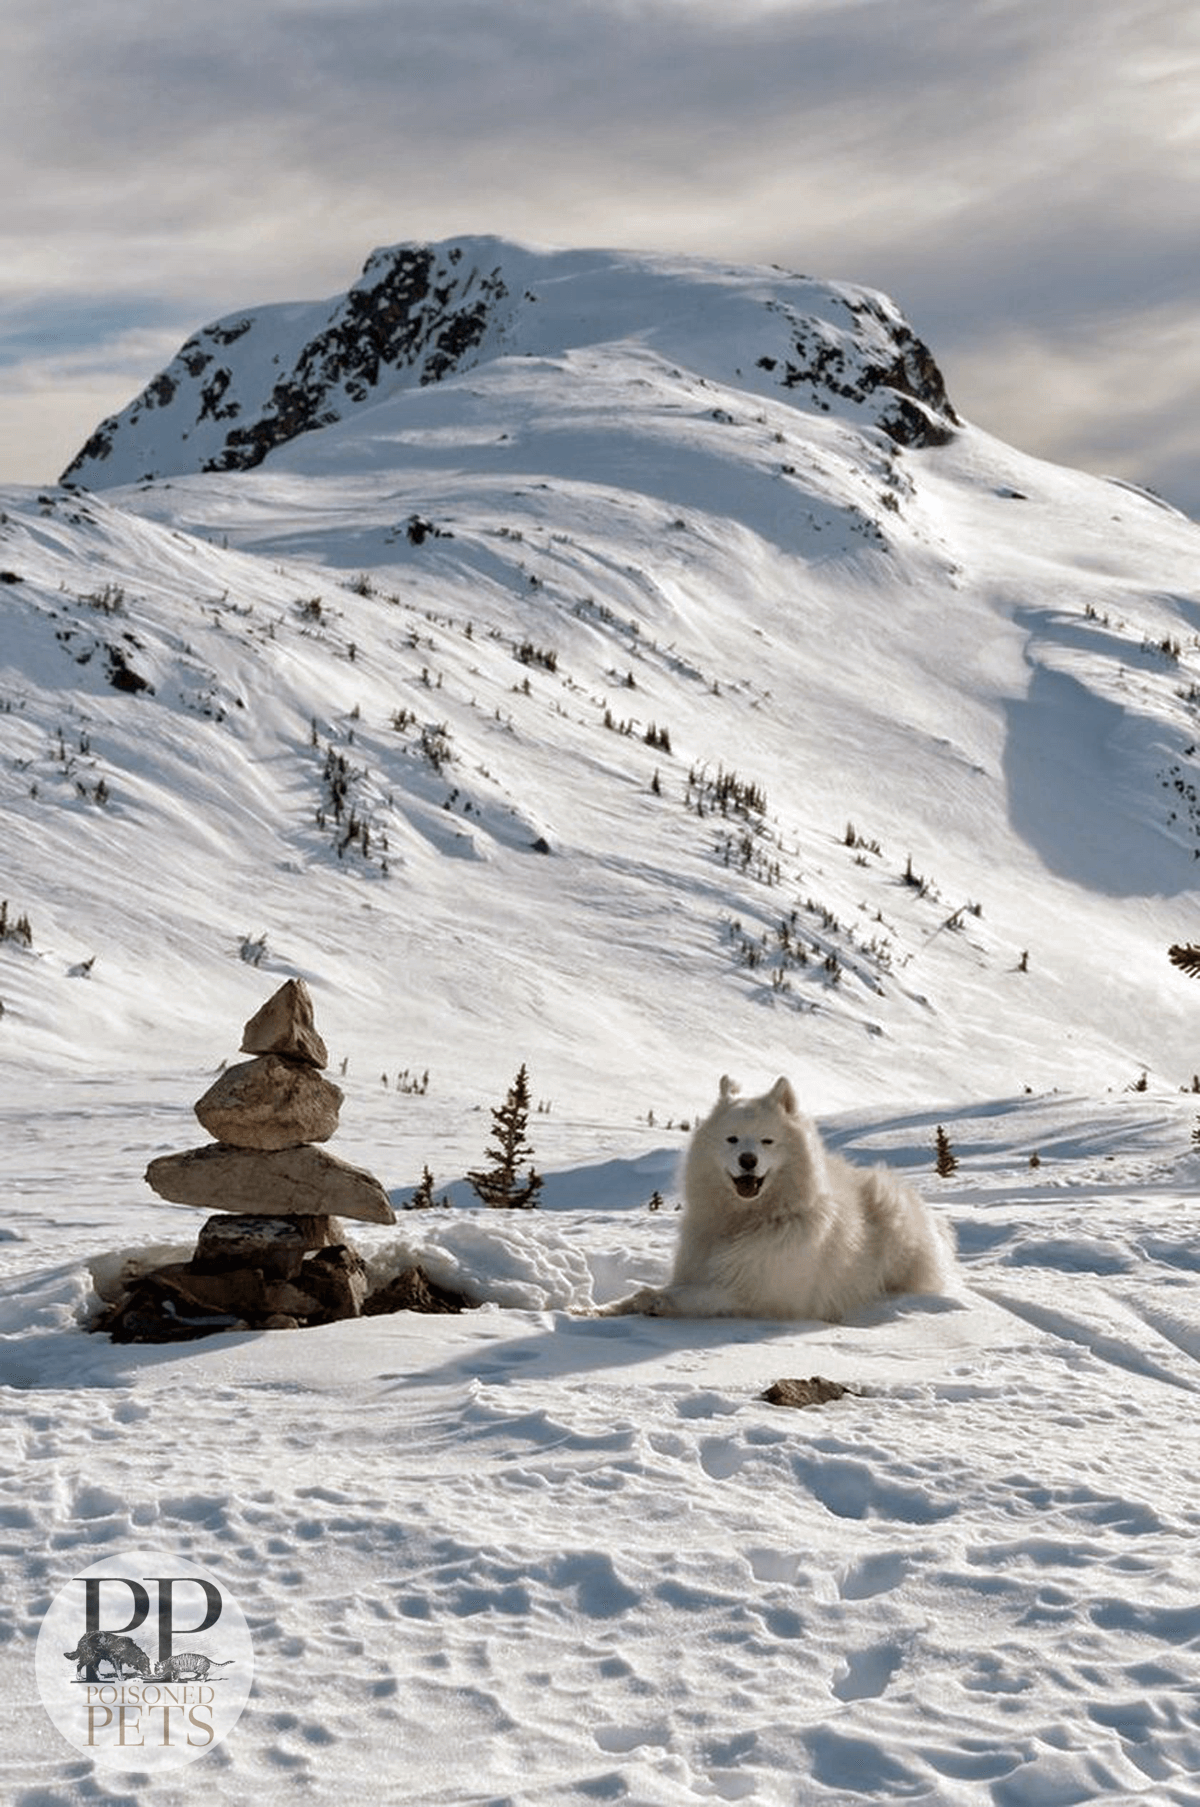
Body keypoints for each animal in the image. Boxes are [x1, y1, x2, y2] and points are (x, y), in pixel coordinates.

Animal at [610, 1069, 954, 1329]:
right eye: (732, 1139)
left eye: (767, 1141)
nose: (748, 1160)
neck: (746, 1221)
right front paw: (607, 1308)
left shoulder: (763, 1294)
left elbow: (698, 1296)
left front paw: (653, 1300)